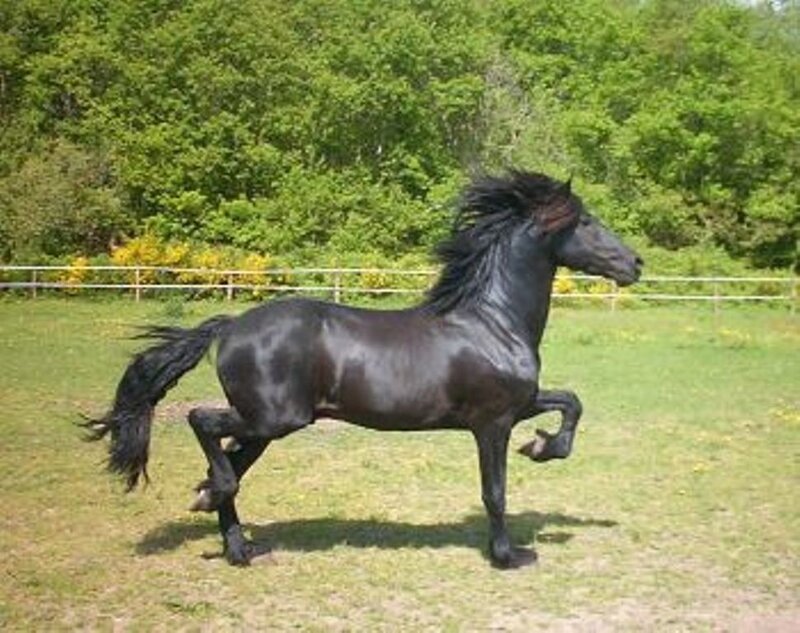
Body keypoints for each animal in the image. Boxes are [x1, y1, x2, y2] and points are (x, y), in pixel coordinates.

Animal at [85, 170, 642, 569]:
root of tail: (232, 325)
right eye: (586, 222)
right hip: (275, 418)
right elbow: (496, 492)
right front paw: (509, 557)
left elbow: (571, 403)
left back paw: (233, 540)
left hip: (266, 427)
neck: (493, 322)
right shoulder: (493, 422)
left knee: (226, 461)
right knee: (202, 422)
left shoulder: (521, 405)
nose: (635, 263)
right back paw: (217, 504)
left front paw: (544, 447)